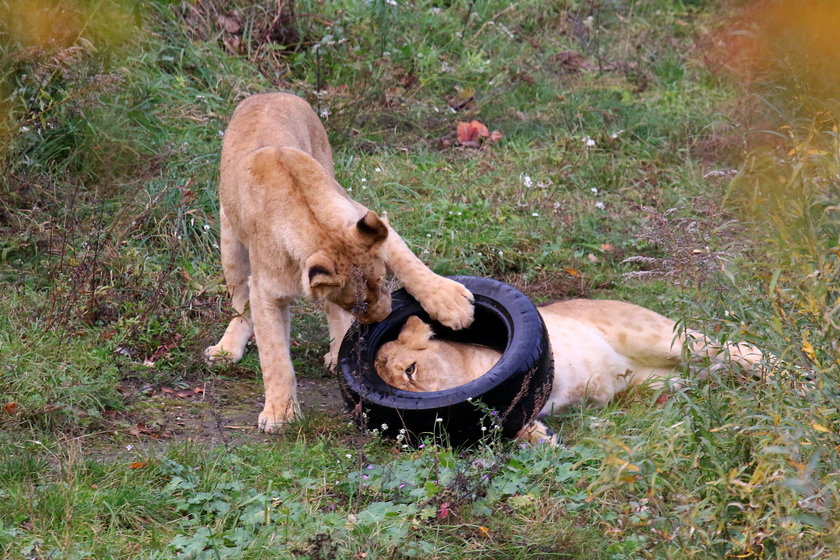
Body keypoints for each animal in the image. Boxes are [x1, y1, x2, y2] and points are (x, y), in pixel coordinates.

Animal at [207, 93, 476, 434]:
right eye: (356, 303)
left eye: (384, 282)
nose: (383, 318)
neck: (317, 225)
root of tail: (269, 93)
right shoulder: (265, 292)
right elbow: (275, 358)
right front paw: (281, 413)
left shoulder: (366, 220)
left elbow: (411, 266)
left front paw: (451, 304)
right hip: (230, 242)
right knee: (240, 304)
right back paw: (227, 348)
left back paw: (337, 353)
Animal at [376, 300, 768, 440]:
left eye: (411, 370)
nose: (410, 407)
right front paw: (545, 441)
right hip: (661, 380)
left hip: (659, 338)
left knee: (738, 348)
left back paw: (778, 373)